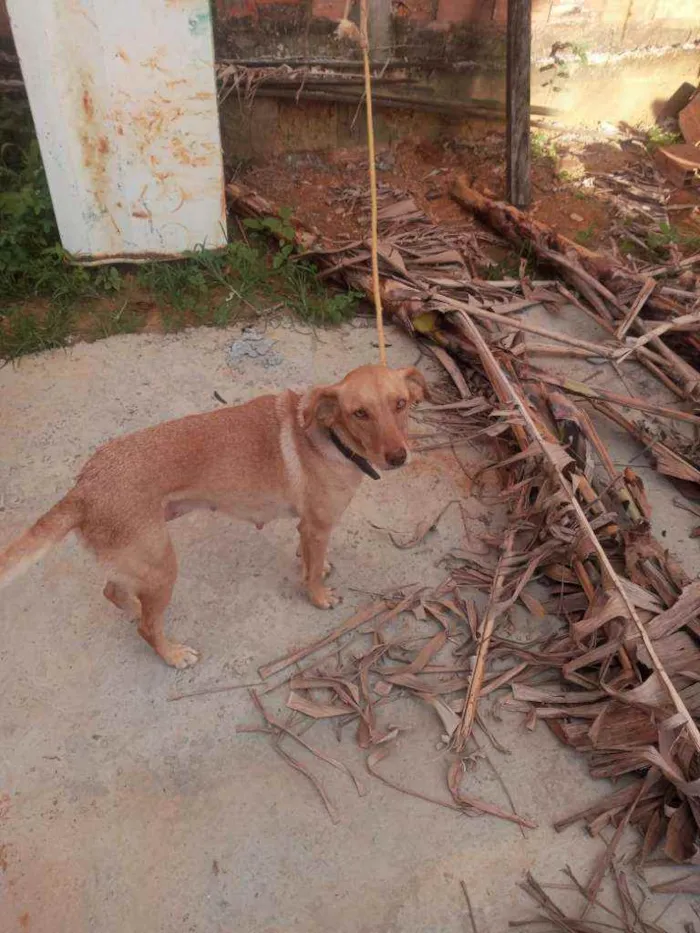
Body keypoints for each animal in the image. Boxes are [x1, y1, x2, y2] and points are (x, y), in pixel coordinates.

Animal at [0, 362, 426, 664]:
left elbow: (309, 559)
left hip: (140, 562)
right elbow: (313, 575)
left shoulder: (307, 527)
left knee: (116, 593)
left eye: (400, 404)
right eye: (360, 413)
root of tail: (84, 486)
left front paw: (315, 566)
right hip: (161, 565)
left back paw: (135, 609)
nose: (399, 457)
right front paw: (319, 595)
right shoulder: (318, 526)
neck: (330, 437)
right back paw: (172, 654)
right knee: (146, 627)